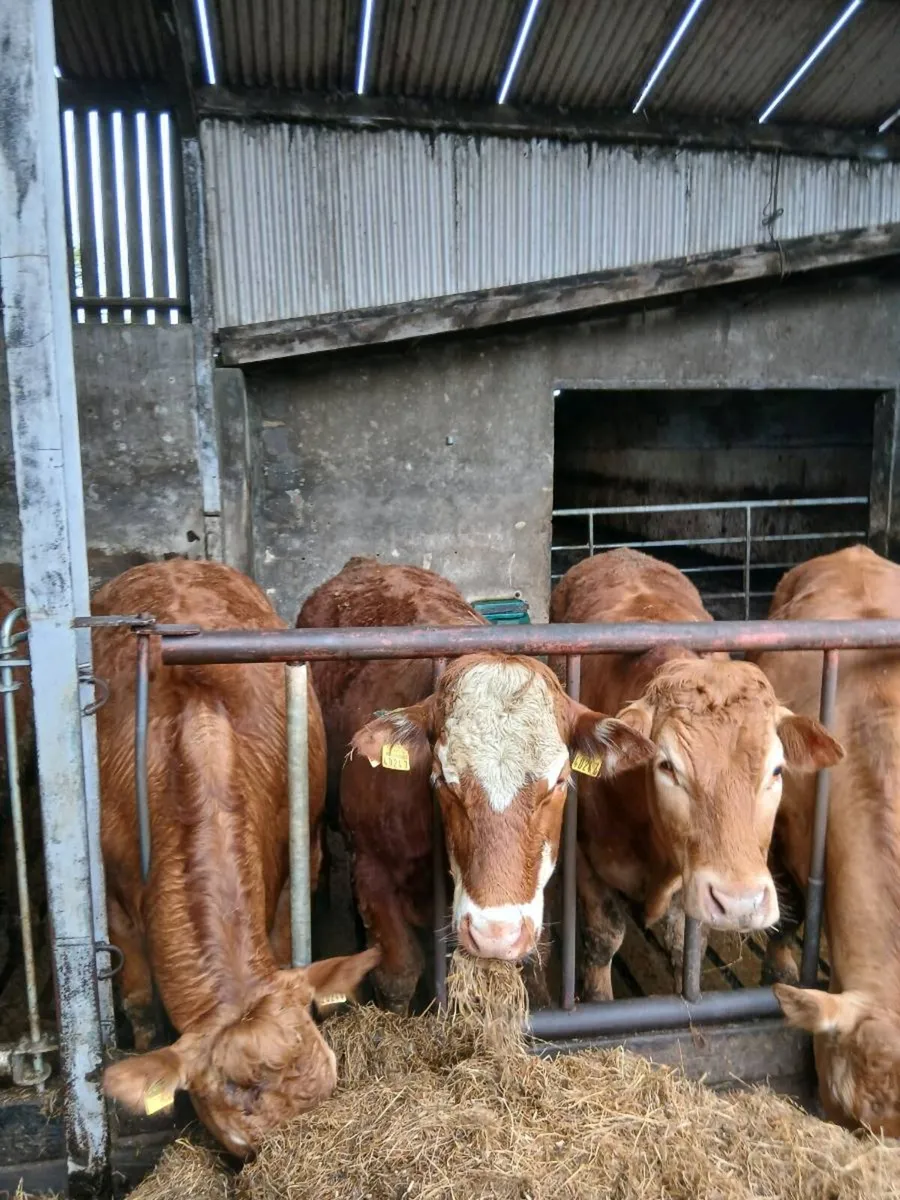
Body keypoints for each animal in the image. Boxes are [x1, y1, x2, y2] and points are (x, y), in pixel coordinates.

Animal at [549, 548, 842, 1001]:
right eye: (667, 765)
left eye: (777, 769)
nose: (739, 902)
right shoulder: (585, 857)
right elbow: (603, 938)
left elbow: (684, 946)